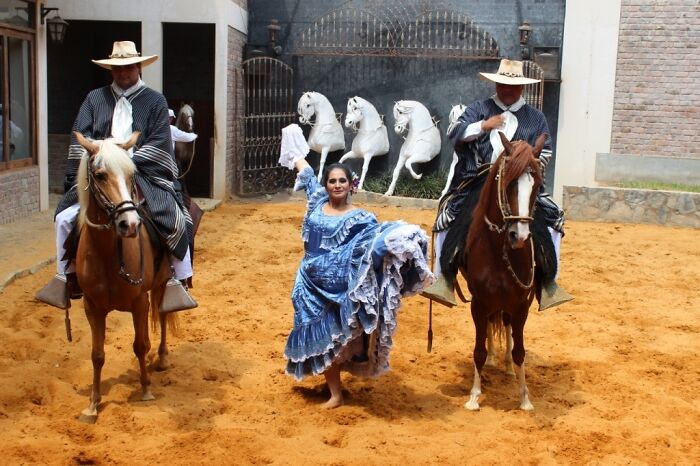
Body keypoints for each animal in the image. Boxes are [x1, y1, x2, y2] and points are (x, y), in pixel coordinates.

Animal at [73, 131, 174, 422]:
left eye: (132, 175)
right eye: (99, 175)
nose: (129, 224)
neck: (108, 254)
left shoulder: (139, 301)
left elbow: (139, 345)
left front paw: (146, 390)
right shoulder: (92, 307)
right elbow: (97, 354)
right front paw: (93, 404)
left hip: (163, 283)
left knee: (163, 314)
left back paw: (162, 357)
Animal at [464, 131, 548, 412]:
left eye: (537, 185)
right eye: (508, 182)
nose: (519, 236)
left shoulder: (522, 305)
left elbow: (519, 351)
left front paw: (525, 398)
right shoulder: (478, 303)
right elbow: (478, 349)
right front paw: (474, 395)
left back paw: (509, 368)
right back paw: (492, 358)